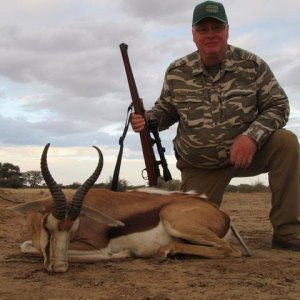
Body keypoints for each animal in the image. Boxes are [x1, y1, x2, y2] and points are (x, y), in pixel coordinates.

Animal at [10, 143, 244, 272]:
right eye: (48, 227)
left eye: (74, 227)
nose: (58, 267)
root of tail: (221, 213)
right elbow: (27, 246)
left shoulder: (96, 246)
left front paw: (123, 254)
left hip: (175, 220)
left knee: (231, 250)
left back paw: (163, 252)